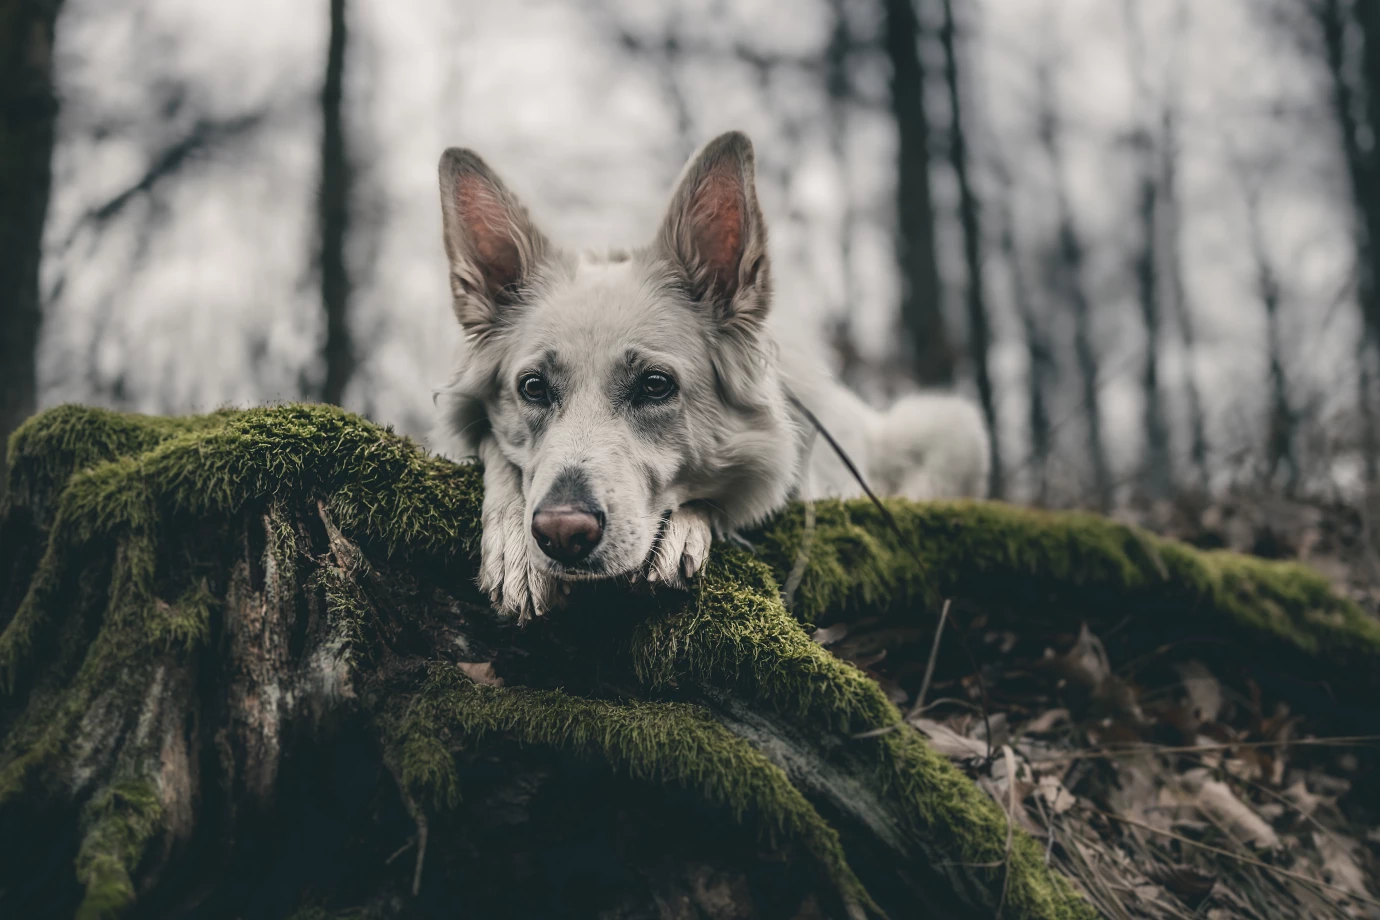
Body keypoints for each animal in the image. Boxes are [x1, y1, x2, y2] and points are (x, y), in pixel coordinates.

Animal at [436, 131, 988, 617]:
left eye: (655, 385)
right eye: (533, 388)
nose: (562, 533)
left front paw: (682, 528)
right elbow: (497, 451)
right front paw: (516, 547)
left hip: (951, 426)